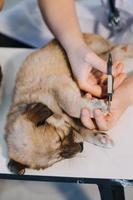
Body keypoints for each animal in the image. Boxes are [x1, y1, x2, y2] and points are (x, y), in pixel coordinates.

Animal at [4, 32, 133, 175]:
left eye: (60, 137)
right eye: (59, 158)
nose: (81, 148)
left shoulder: (58, 84)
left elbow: (71, 106)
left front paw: (98, 106)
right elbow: (81, 129)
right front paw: (100, 137)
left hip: (98, 51)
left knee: (115, 51)